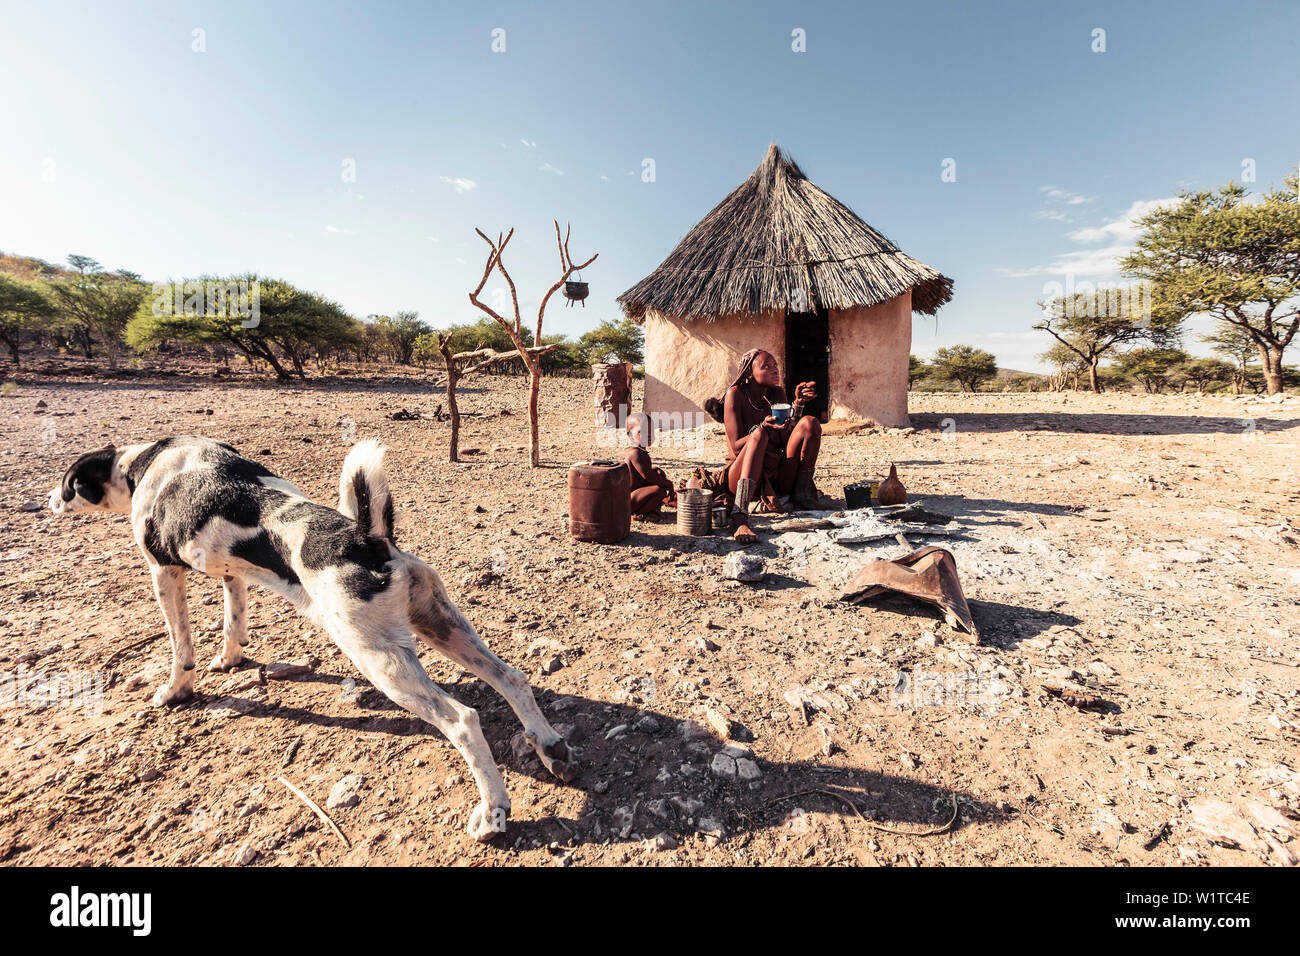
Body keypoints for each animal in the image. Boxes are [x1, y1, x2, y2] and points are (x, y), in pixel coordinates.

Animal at [52, 437, 569, 842]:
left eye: (67, 483)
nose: (48, 501)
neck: (143, 463)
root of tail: (367, 538)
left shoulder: (163, 573)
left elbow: (181, 648)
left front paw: (175, 692)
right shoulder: (231, 574)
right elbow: (233, 622)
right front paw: (230, 660)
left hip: (377, 658)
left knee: (462, 719)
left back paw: (494, 811)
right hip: (439, 623)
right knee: (512, 678)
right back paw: (549, 745)